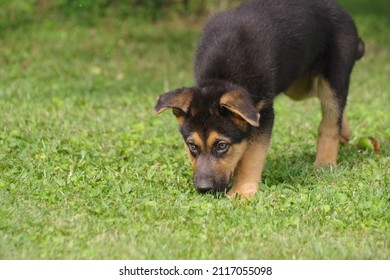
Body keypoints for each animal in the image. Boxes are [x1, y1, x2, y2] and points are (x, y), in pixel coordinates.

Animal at [152, 0, 362, 197]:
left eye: (222, 146)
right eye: (192, 146)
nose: (204, 189)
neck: (223, 77)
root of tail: (339, 9)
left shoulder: (263, 113)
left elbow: (251, 156)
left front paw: (242, 191)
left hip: (332, 76)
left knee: (330, 118)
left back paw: (325, 162)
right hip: (298, 83)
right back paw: (345, 132)